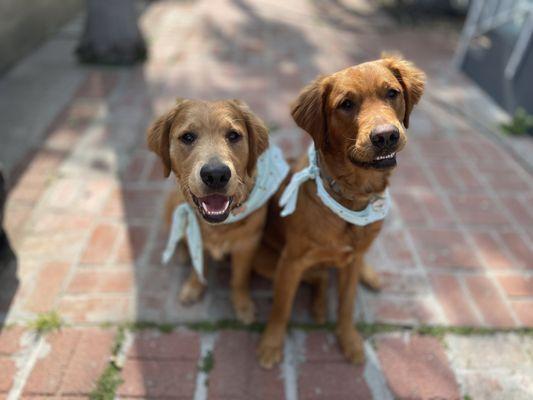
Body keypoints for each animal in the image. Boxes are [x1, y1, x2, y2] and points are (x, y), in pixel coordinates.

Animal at [147, 98, 270, 324]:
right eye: (188, 137)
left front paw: (242, 305)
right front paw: (193, 287)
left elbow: (239, 279)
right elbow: (198, 266)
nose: (216, 175)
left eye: (233, 135)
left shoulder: (247, 244)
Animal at [256, 54, 426, 368]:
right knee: (319, 275)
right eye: (346, 104)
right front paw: (271, 344)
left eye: (392, 93)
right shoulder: (290, 262)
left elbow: (347, 305)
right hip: (265, 260)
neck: (354, 197)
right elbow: (281, 307)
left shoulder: (352, 259)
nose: (386, 136)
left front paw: (349, 340)